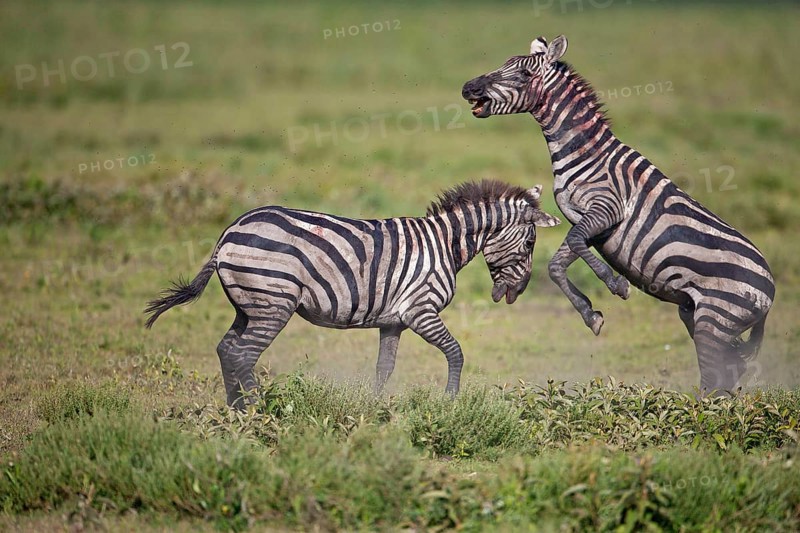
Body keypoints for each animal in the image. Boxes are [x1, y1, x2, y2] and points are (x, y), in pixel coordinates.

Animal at [145, 180, 561, 406]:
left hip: (248, 306)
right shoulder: (421, 309)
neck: (444, 243)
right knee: (243, 354)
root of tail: (227, 235)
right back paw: (258, 410)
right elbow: (456, 352)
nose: (518, 292)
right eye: (530, 243)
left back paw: (235, 410)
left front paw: (374, 408)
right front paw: (451, 402)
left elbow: (384, 366)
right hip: (273, 303)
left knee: (226, 349)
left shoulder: (394, 321)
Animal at [461, 35, 775, 394]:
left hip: (716, 318)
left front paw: (616, 284)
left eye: (525, 74)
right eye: (504, 64)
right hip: (698, 316)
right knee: (729, 371)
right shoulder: (585, 221)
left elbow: (575, 245)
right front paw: (591, 315)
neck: (585, 152)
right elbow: (557, 264)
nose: (468, 88)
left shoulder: (606, 209)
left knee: (715, 379)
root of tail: (770, 290)